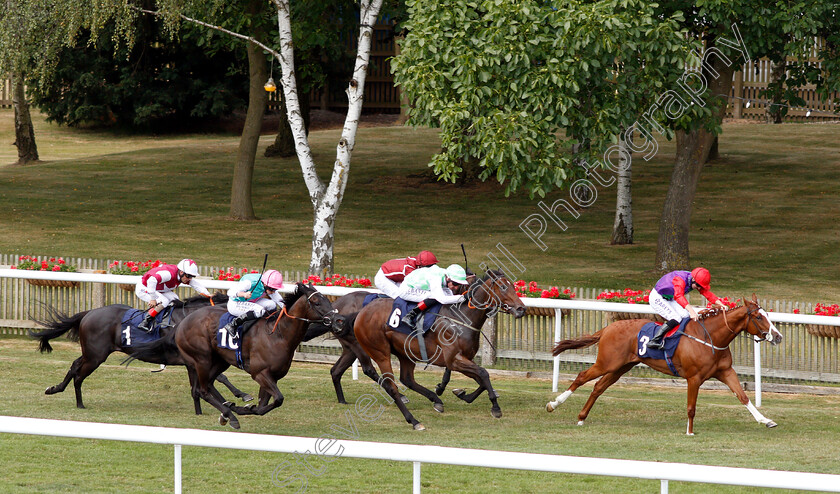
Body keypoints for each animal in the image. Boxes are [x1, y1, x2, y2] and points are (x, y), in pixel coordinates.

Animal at [30, 294, 253, 412]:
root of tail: (90, 312)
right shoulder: (193, 360)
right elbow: (217, 378)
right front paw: (239, 397)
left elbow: (208, 383)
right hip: (95, 356)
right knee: (79, 373)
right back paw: (79, 402)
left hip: (91, 353)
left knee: (75, 365)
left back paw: (55, 389)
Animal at [127, 282, 342, 428]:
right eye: (316, 301)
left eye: (326, 298)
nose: (339, 320)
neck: (278, 335)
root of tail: (182, 323)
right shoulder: (260, 373)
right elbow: (279, 399)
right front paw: (238, 409)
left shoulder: (271, 377)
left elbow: (265, 405)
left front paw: (246, 407)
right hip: (202, 359)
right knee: (202, 390)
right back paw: (230, 416)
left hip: (218, 361)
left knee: (209, 384)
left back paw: (227, 409)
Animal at [352, 270, 524, 428]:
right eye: (503, 287)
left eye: (513, 286)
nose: (521, 309)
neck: (461, 317)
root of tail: (362, 312)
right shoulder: (454, 359)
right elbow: (483, 373)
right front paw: (495, 408)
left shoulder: (464, 359)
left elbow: (482, 379)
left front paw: (462, 394)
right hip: (380, 353)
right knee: (391, 386)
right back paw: (414, 420)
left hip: (404, 353)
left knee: (407, 379)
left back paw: (436, 401)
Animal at [548, 296, 784, 434]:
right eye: (759, 317)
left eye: (768, 316)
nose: (778, 337)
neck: (710, 338)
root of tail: (608, 328)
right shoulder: (694, 378)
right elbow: (691, 407)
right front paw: (689, 431)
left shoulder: (725, 372)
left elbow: (743, 397)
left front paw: (766, 420)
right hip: (607, 363)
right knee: (582, 377)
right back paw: (554, 404)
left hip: (620, 367)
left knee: (598, 387)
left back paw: (581, 417)